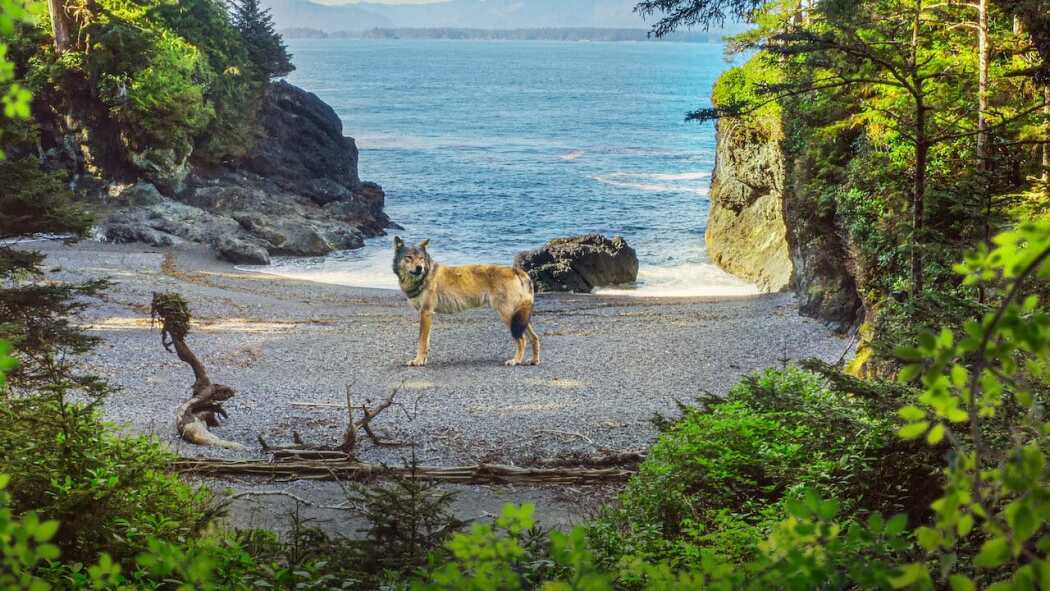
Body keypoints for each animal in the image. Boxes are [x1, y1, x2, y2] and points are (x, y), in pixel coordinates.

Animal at [393, 237, 540, 367]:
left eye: (421, 258)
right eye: (408, 257)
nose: (419, 268)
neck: (425, 276)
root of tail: (517, 270)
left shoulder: (426, 313)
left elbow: (421, 341)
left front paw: (417, 361)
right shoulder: (427, 315)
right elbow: (426, 342)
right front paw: (423, 360)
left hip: (508, 317)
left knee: (522, 339)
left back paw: (516, 361)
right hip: (519, 319)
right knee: (535, 338)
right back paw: (534, 361)